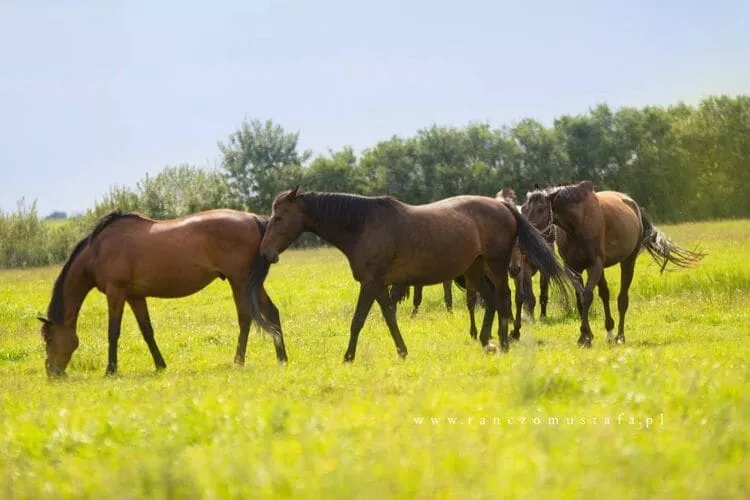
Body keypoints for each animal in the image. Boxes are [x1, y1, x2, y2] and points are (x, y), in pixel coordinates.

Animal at [38, 207, 290, 376]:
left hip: (239, 281)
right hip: (250, 284)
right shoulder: (135, 296)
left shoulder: (116, 293)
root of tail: (255, 219)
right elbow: (147, 331)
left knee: (245, 319)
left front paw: (110, 370)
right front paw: (160, 365)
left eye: (49, 338)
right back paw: (282, 358)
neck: (97, 251)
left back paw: (239, 360)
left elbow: (113, 332)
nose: (52, 373)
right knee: (271, 312)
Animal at [250, 187, 572, 360]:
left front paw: (348, 357)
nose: (265, 252)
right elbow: (389, 318)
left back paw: (503, 342)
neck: (362, 225)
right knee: (492, 300)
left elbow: (357, 321)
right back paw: (486, 340)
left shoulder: (370, 284)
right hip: (474, 269)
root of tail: (503, 206)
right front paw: (402, 351)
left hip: (495, 265)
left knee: (504, 299)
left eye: (280, 217)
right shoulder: (380, 285)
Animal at [524, 181, 704, 348]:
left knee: (622, 298)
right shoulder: (573, 268)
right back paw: (610, 332)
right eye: (525, 207)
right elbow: (581, 297)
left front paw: (585, 337)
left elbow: (587, 296)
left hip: (628, 262)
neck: (578, 223)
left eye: (541, 209)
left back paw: (619, 336)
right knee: (605, 294)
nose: (527, 230)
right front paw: (586, 335)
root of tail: (634, 205)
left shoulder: (594, 266)